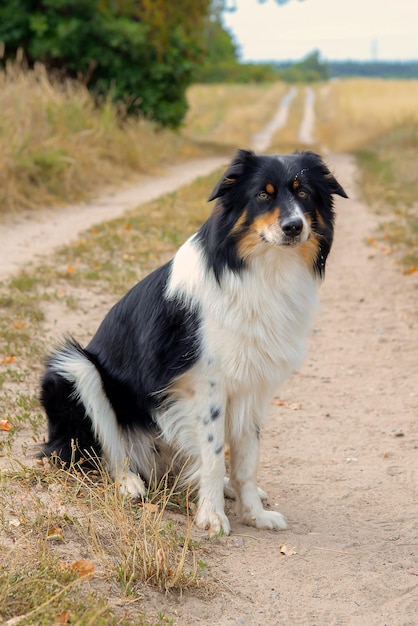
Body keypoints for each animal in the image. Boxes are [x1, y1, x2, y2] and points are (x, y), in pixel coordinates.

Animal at [40, 150, 346, 532]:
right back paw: (129, 483)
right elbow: (214, 456)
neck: (261, 269)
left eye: (303, 192)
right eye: (263, 195)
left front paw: (253, 515)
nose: (294, 227)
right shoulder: (207, 384)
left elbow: (247, 459)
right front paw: (212, 516)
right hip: (74, 367)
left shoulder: (253, 384)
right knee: (106, 452)